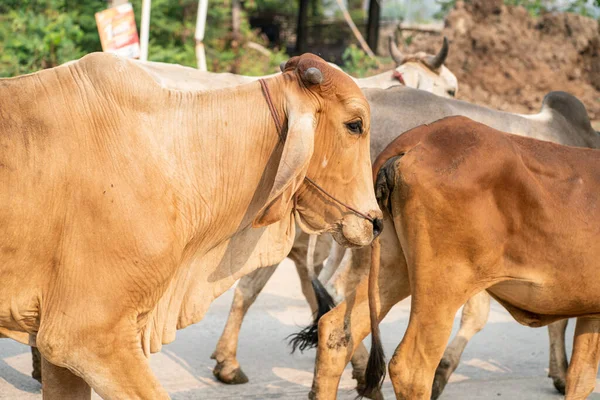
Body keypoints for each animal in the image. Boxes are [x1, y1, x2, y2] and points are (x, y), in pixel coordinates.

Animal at [312, 115, 600, 400]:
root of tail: (419, 139)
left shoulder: (592, 314)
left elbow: (581, 380)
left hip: (393, 269)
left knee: (336, 332)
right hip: (445, 287)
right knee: (411, 369)